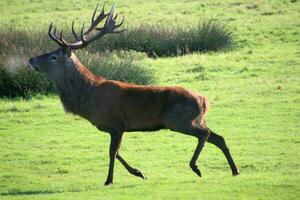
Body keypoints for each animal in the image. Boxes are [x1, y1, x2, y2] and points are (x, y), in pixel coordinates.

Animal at [28, 1, 239, 186]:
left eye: (53, 57)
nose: (31, 60)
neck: (89, 99)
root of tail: (204, 101)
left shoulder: (116, 124)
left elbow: (112, 152)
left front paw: (109, 180)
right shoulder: (116, 128)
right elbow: (118, 152)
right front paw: (139, 173)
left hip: (179, 120)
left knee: (206, 134)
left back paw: (196, 166)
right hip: (197, 119)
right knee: (218, 137)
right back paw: (235, 170)